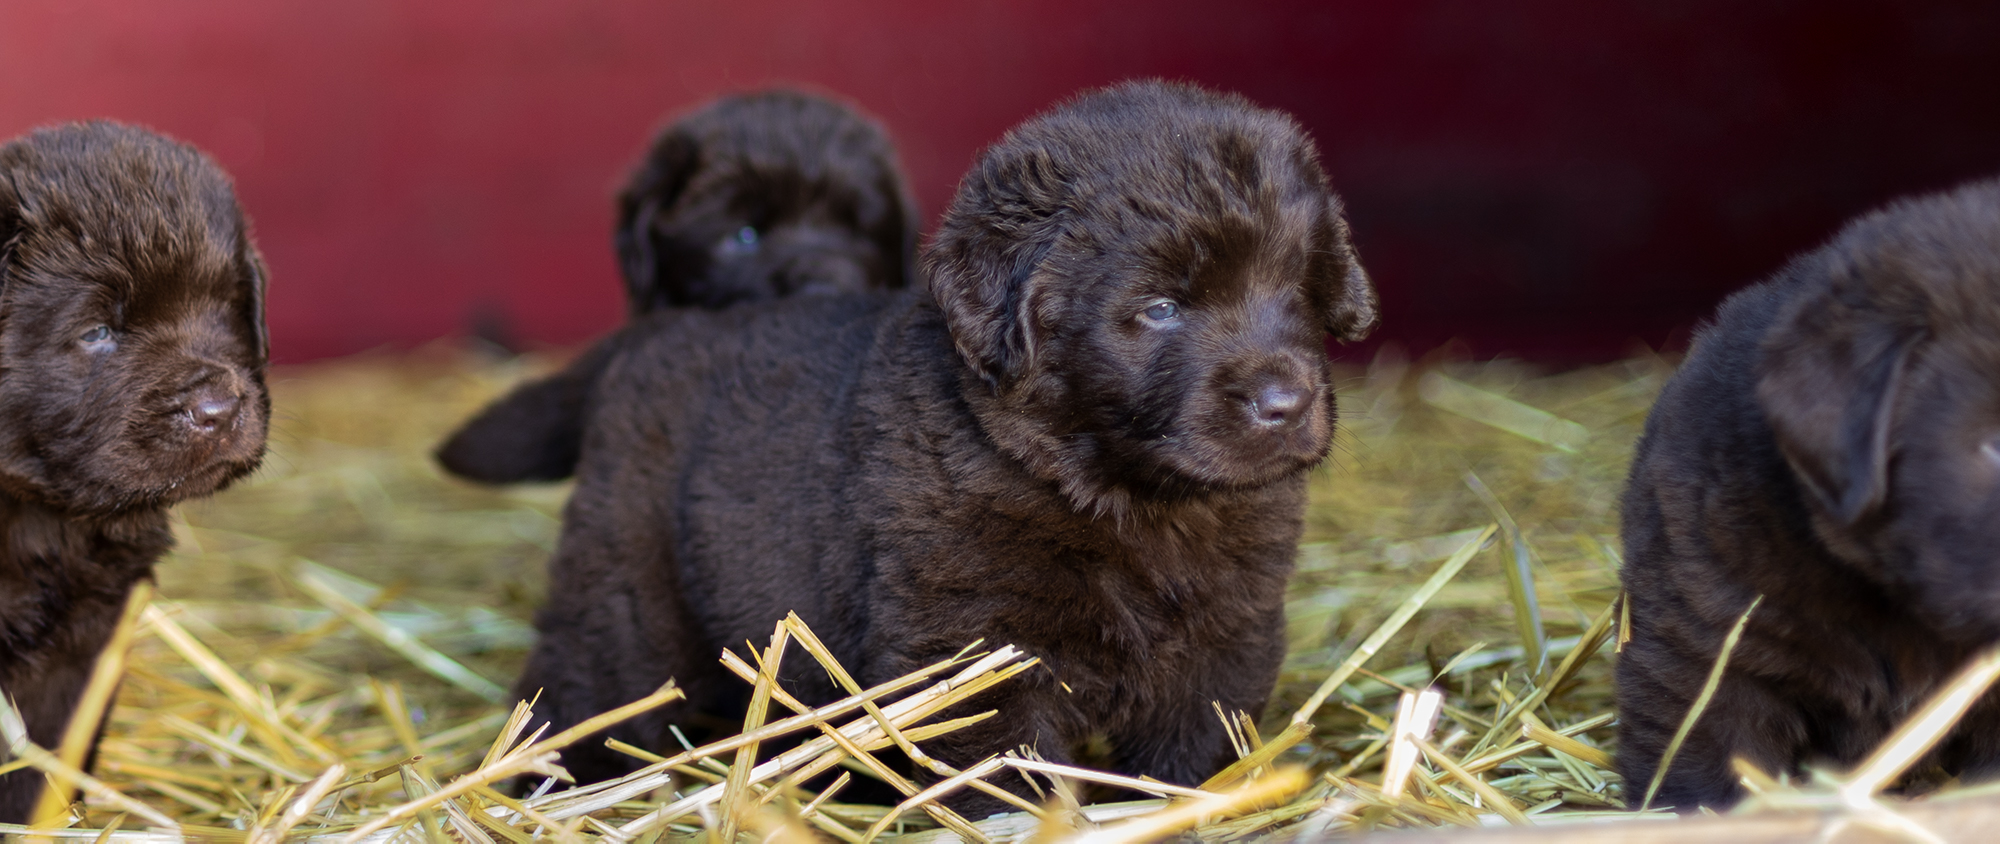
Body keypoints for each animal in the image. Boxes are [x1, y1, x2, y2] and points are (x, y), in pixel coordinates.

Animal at [0, 122, 274, 820]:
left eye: (227, 308)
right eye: (98, 330)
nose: (217, 408)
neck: (46, 520)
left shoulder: (88, 643)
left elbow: (47, 760)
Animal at [504, 81, 1376, 804]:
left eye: (1296, 288)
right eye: (1160, 308)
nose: (1285, 402)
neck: (1127, 498)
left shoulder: (1225, 640)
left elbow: (1195, 757)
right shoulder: (976, 654)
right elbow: (1002, 776)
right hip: (628, 588)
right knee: (588, 679)